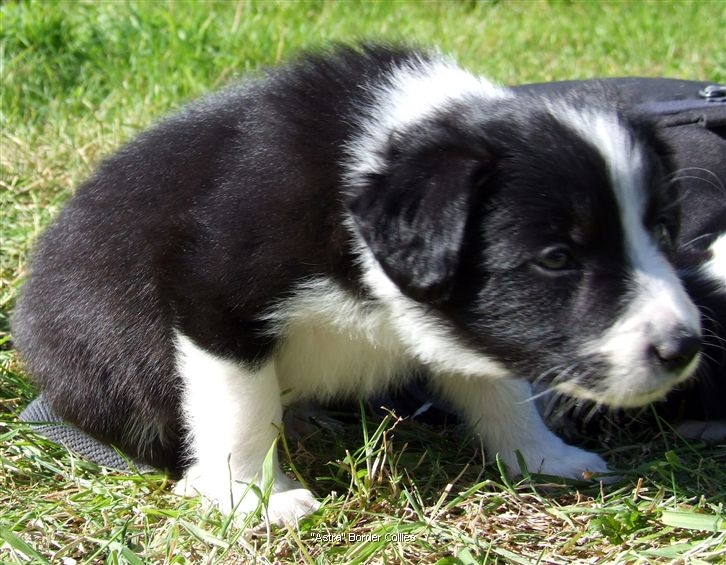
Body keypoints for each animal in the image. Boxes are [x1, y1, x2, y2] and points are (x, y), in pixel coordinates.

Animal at [12, 45, 703, 525]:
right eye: (557, 258)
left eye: (663, 231)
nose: (684, 348)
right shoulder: (213, 289)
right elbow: (241, 408)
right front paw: (254, 498)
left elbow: (501, 388)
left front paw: (545, 458)